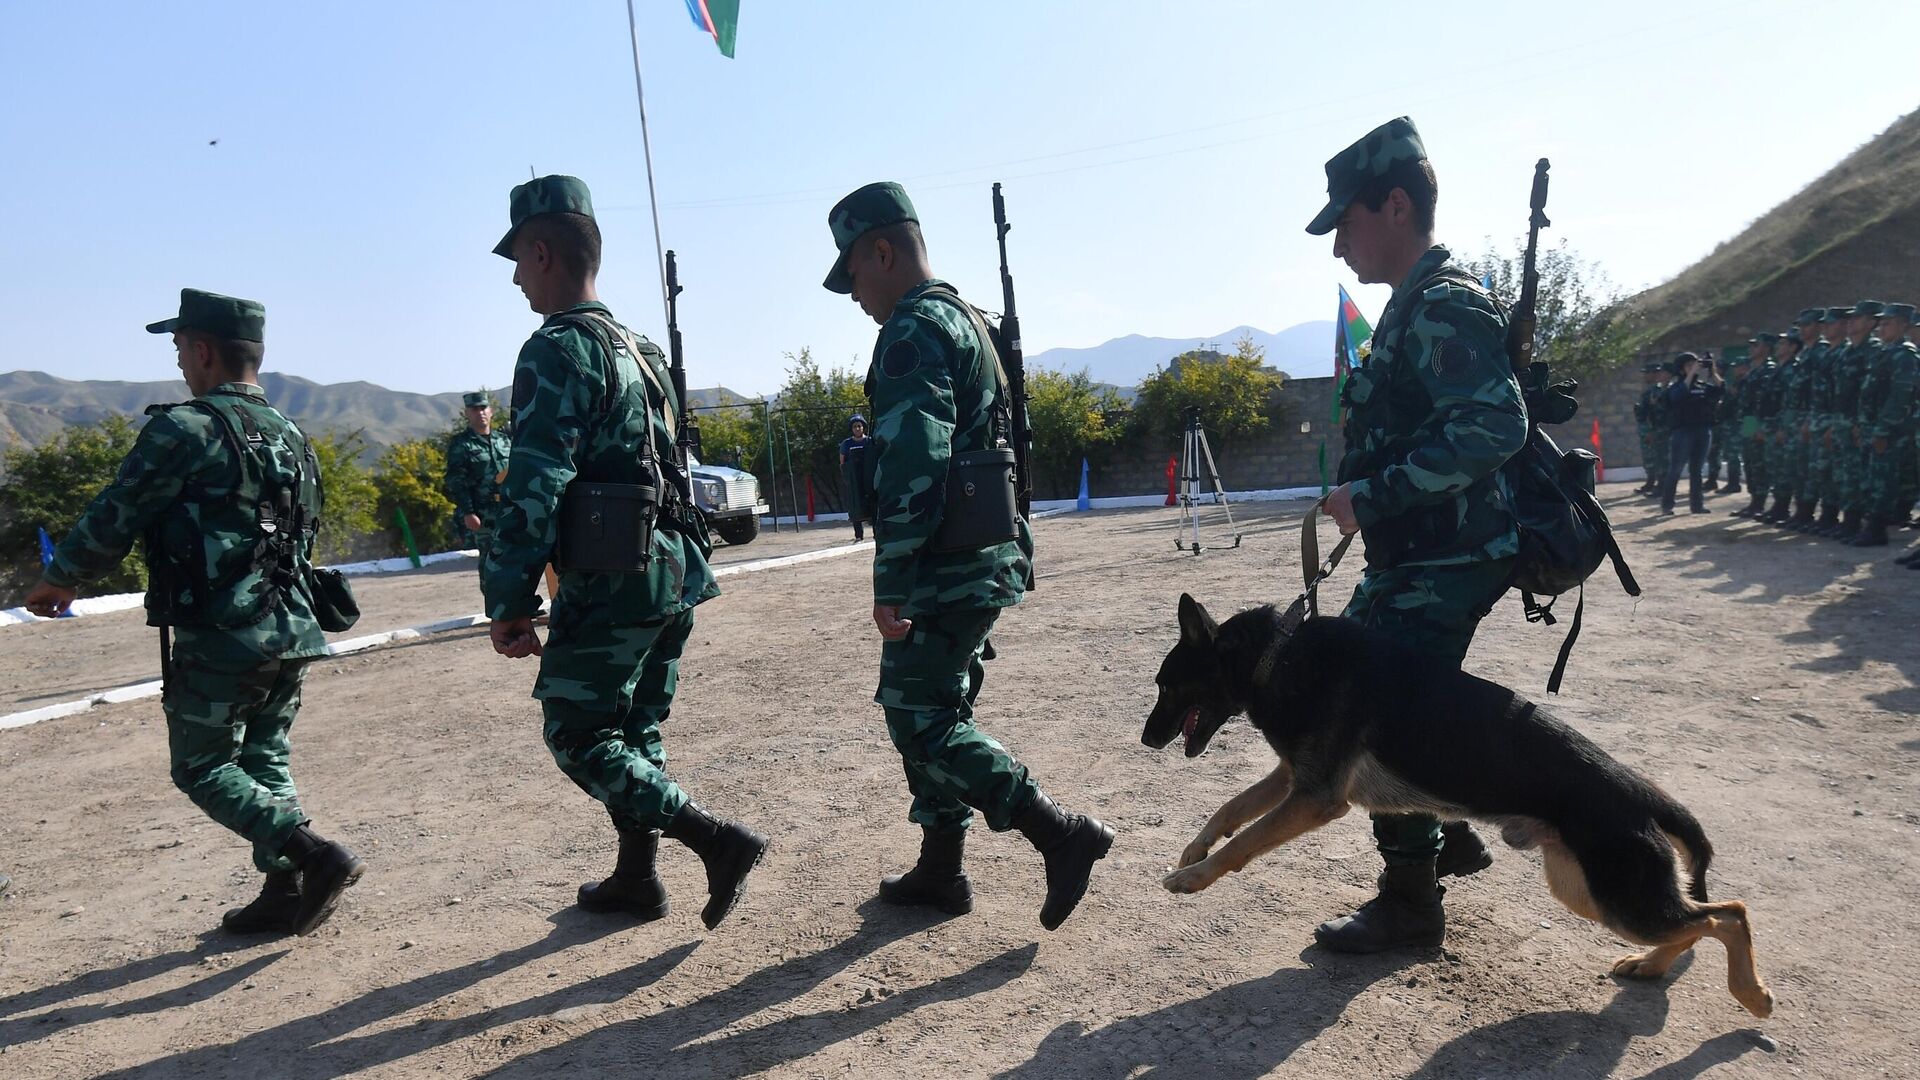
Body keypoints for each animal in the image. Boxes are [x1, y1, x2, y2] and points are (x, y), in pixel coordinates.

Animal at [1128, 591, 1774, 1014]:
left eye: (1166, 684)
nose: (1145, 741)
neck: (1276, 656)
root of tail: (1641, 796)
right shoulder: (1293, 776)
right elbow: (1230, 809)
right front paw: (1193, 851)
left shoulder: (1315, 798)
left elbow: (1245, 839)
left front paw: (1194, 878)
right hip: (1582, 891)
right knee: (1698, 921)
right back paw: (1652, 967)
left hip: (1618, 901)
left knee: (1729, 914)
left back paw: (1751, 994)